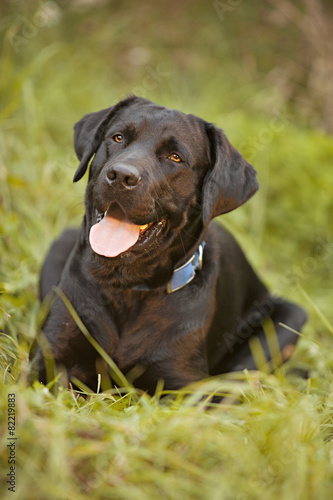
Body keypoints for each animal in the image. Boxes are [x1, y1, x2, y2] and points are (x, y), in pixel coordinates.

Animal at [29, 96, 306, 394]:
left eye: (175, 157)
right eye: (118, 138)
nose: (121, 176)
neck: (129, 287)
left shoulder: (182, 384)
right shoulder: (49, 356)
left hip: (286, 320)